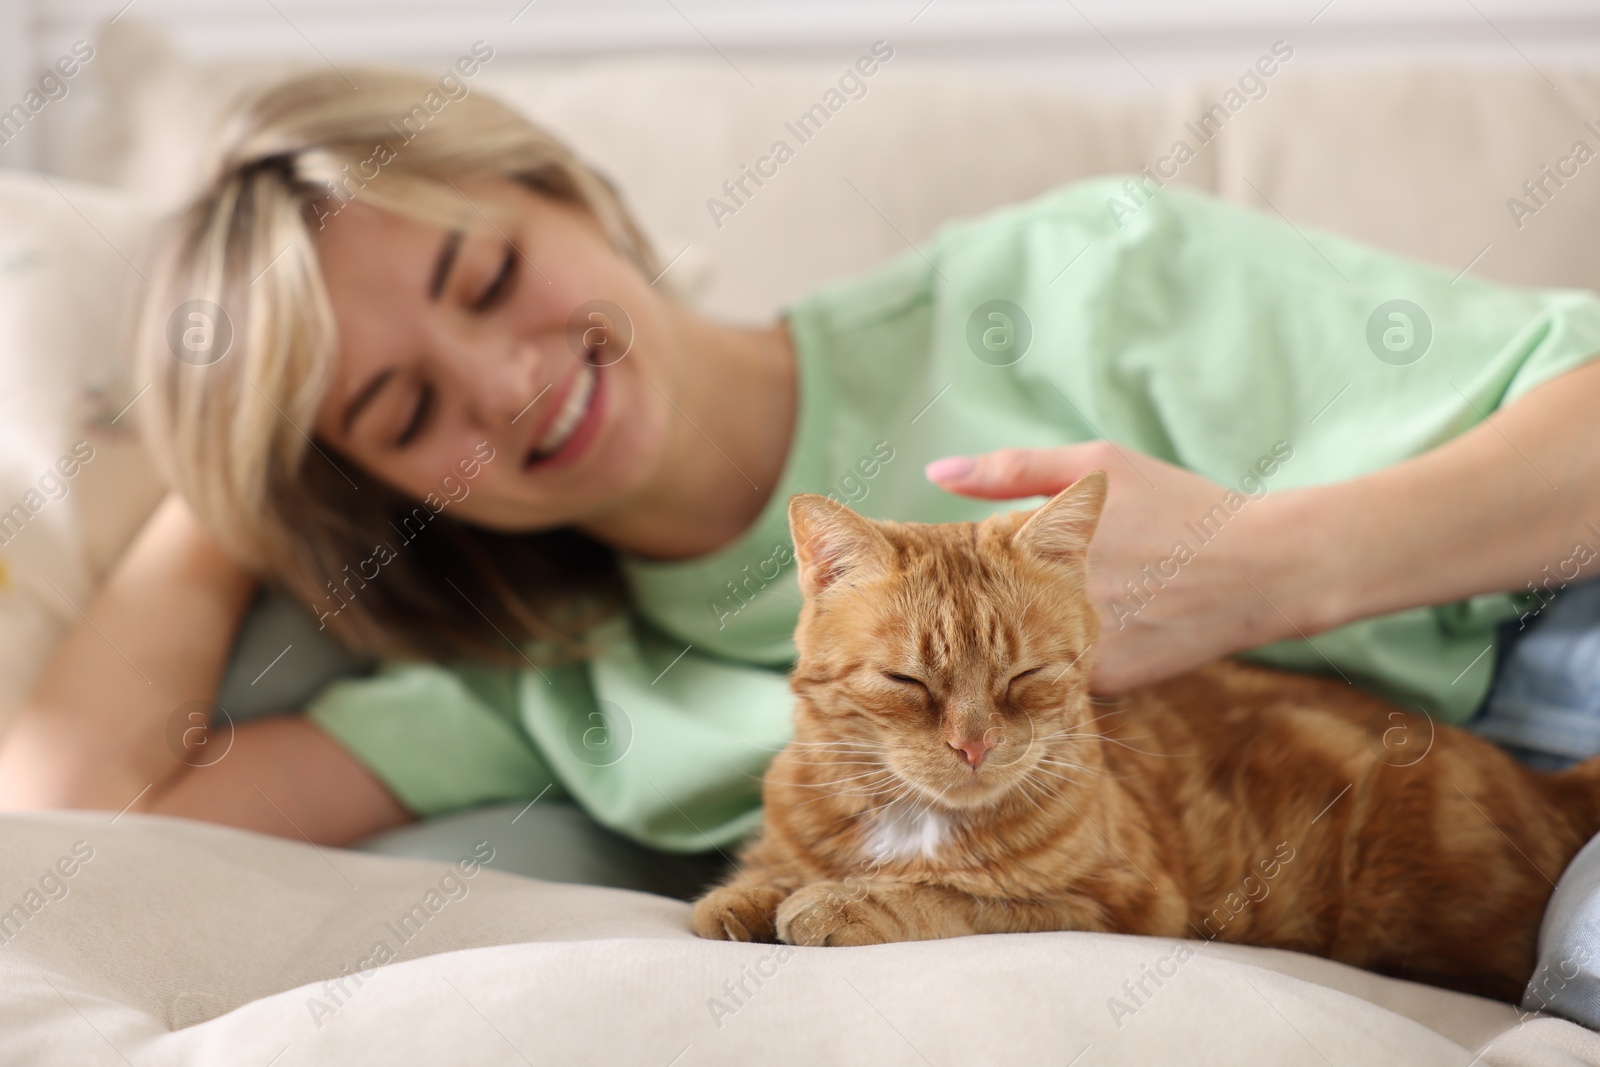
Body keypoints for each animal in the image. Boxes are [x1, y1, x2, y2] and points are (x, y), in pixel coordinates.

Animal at [694, 476, 1600, 1004]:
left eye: (1024, 676)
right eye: (908, 682)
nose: (974, 747)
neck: (908, 818)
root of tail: (1549, 784)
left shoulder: (1113, 905)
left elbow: (955, 896)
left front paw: (838, 900)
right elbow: (772, 870)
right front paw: (749, 894)